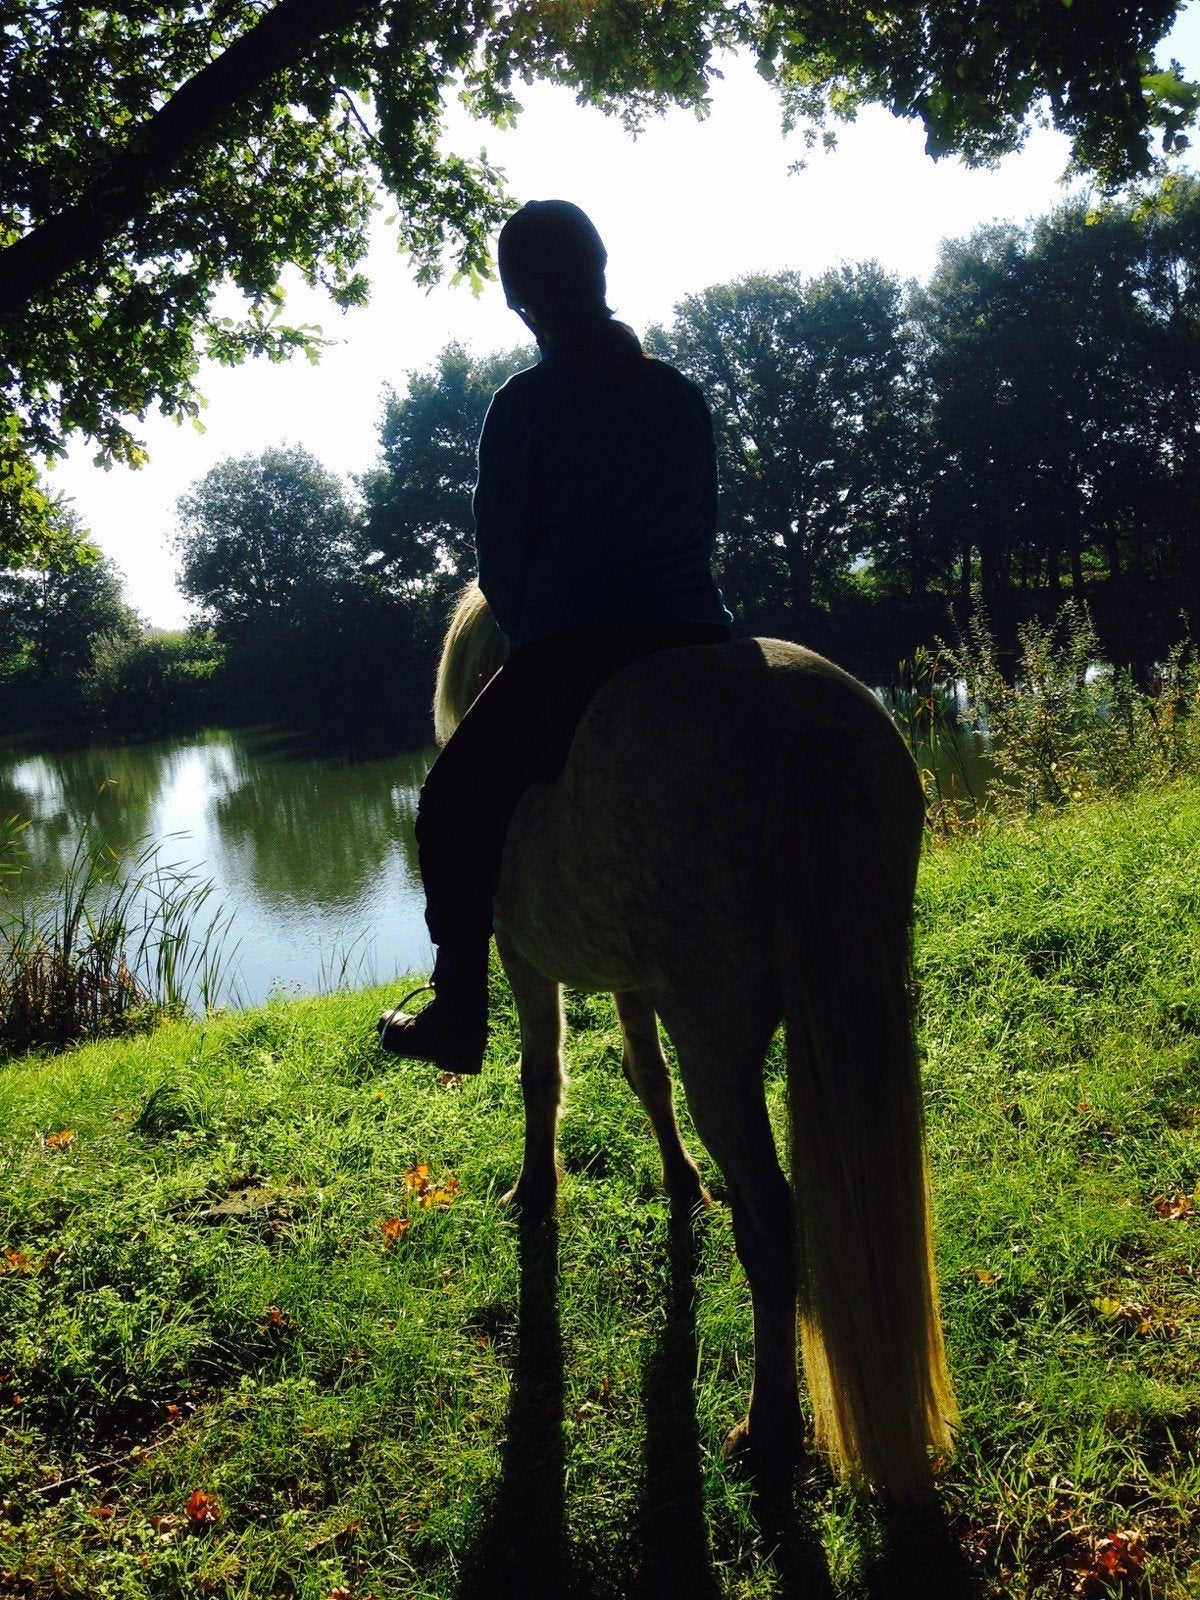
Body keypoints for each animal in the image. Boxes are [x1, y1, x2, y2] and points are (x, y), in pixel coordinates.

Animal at [430, 582, 956, 1502]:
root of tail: (795, 724)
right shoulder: (636, 982)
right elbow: (646, 1075)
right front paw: (682, 1185)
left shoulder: (521, 957)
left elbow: (542, 1073)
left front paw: (536, 1190)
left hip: (720, 1038)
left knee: (773, 1223)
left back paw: (770, 1428)